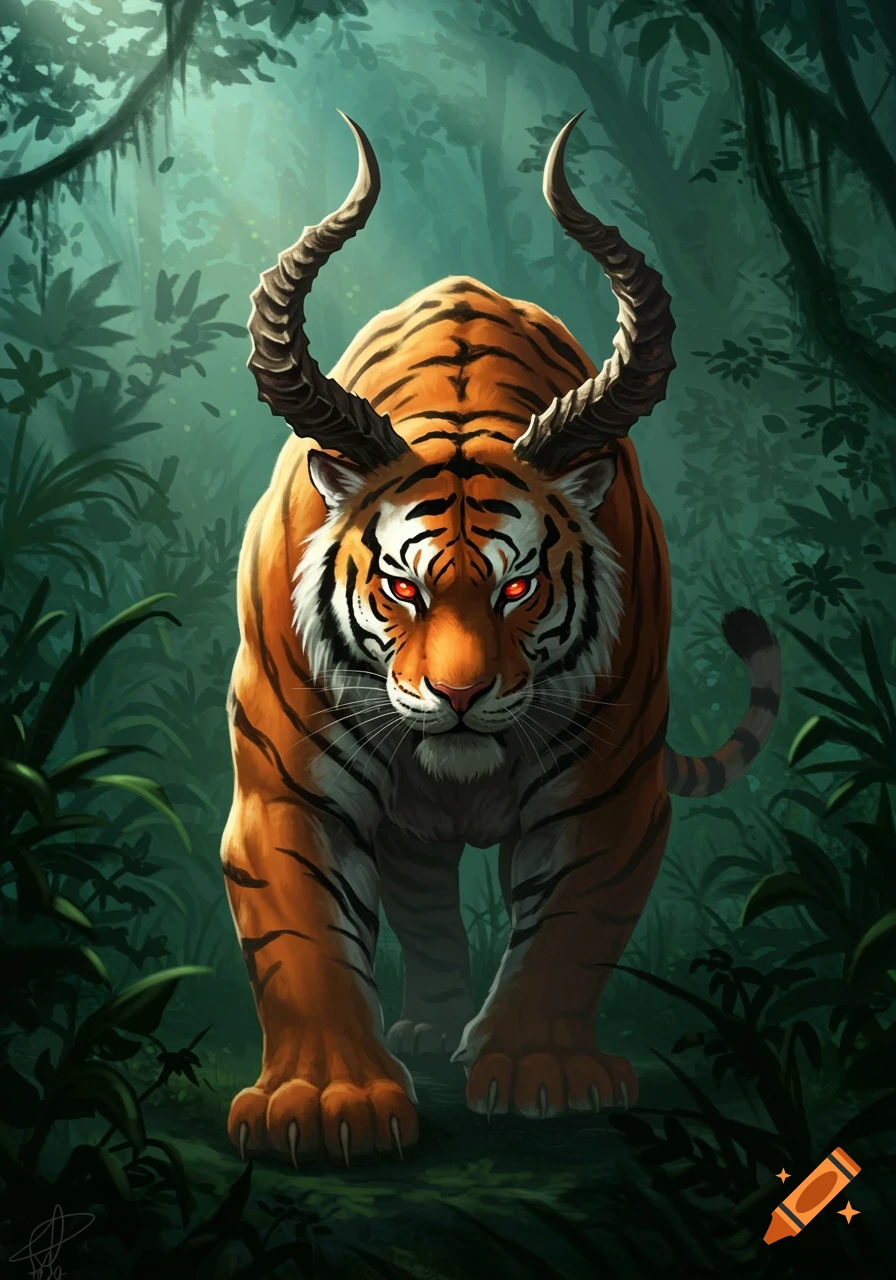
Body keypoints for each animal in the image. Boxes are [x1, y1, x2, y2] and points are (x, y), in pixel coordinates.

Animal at [221, 110, 782, 1167]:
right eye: (401, 587)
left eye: (518, 587)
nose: (461, 697)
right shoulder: (285, 777)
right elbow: (302, 934)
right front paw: (325, 1101)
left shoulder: (610, 783)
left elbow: (573, 923)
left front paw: (540, 1071)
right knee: (424, 900)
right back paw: (430, 1027)